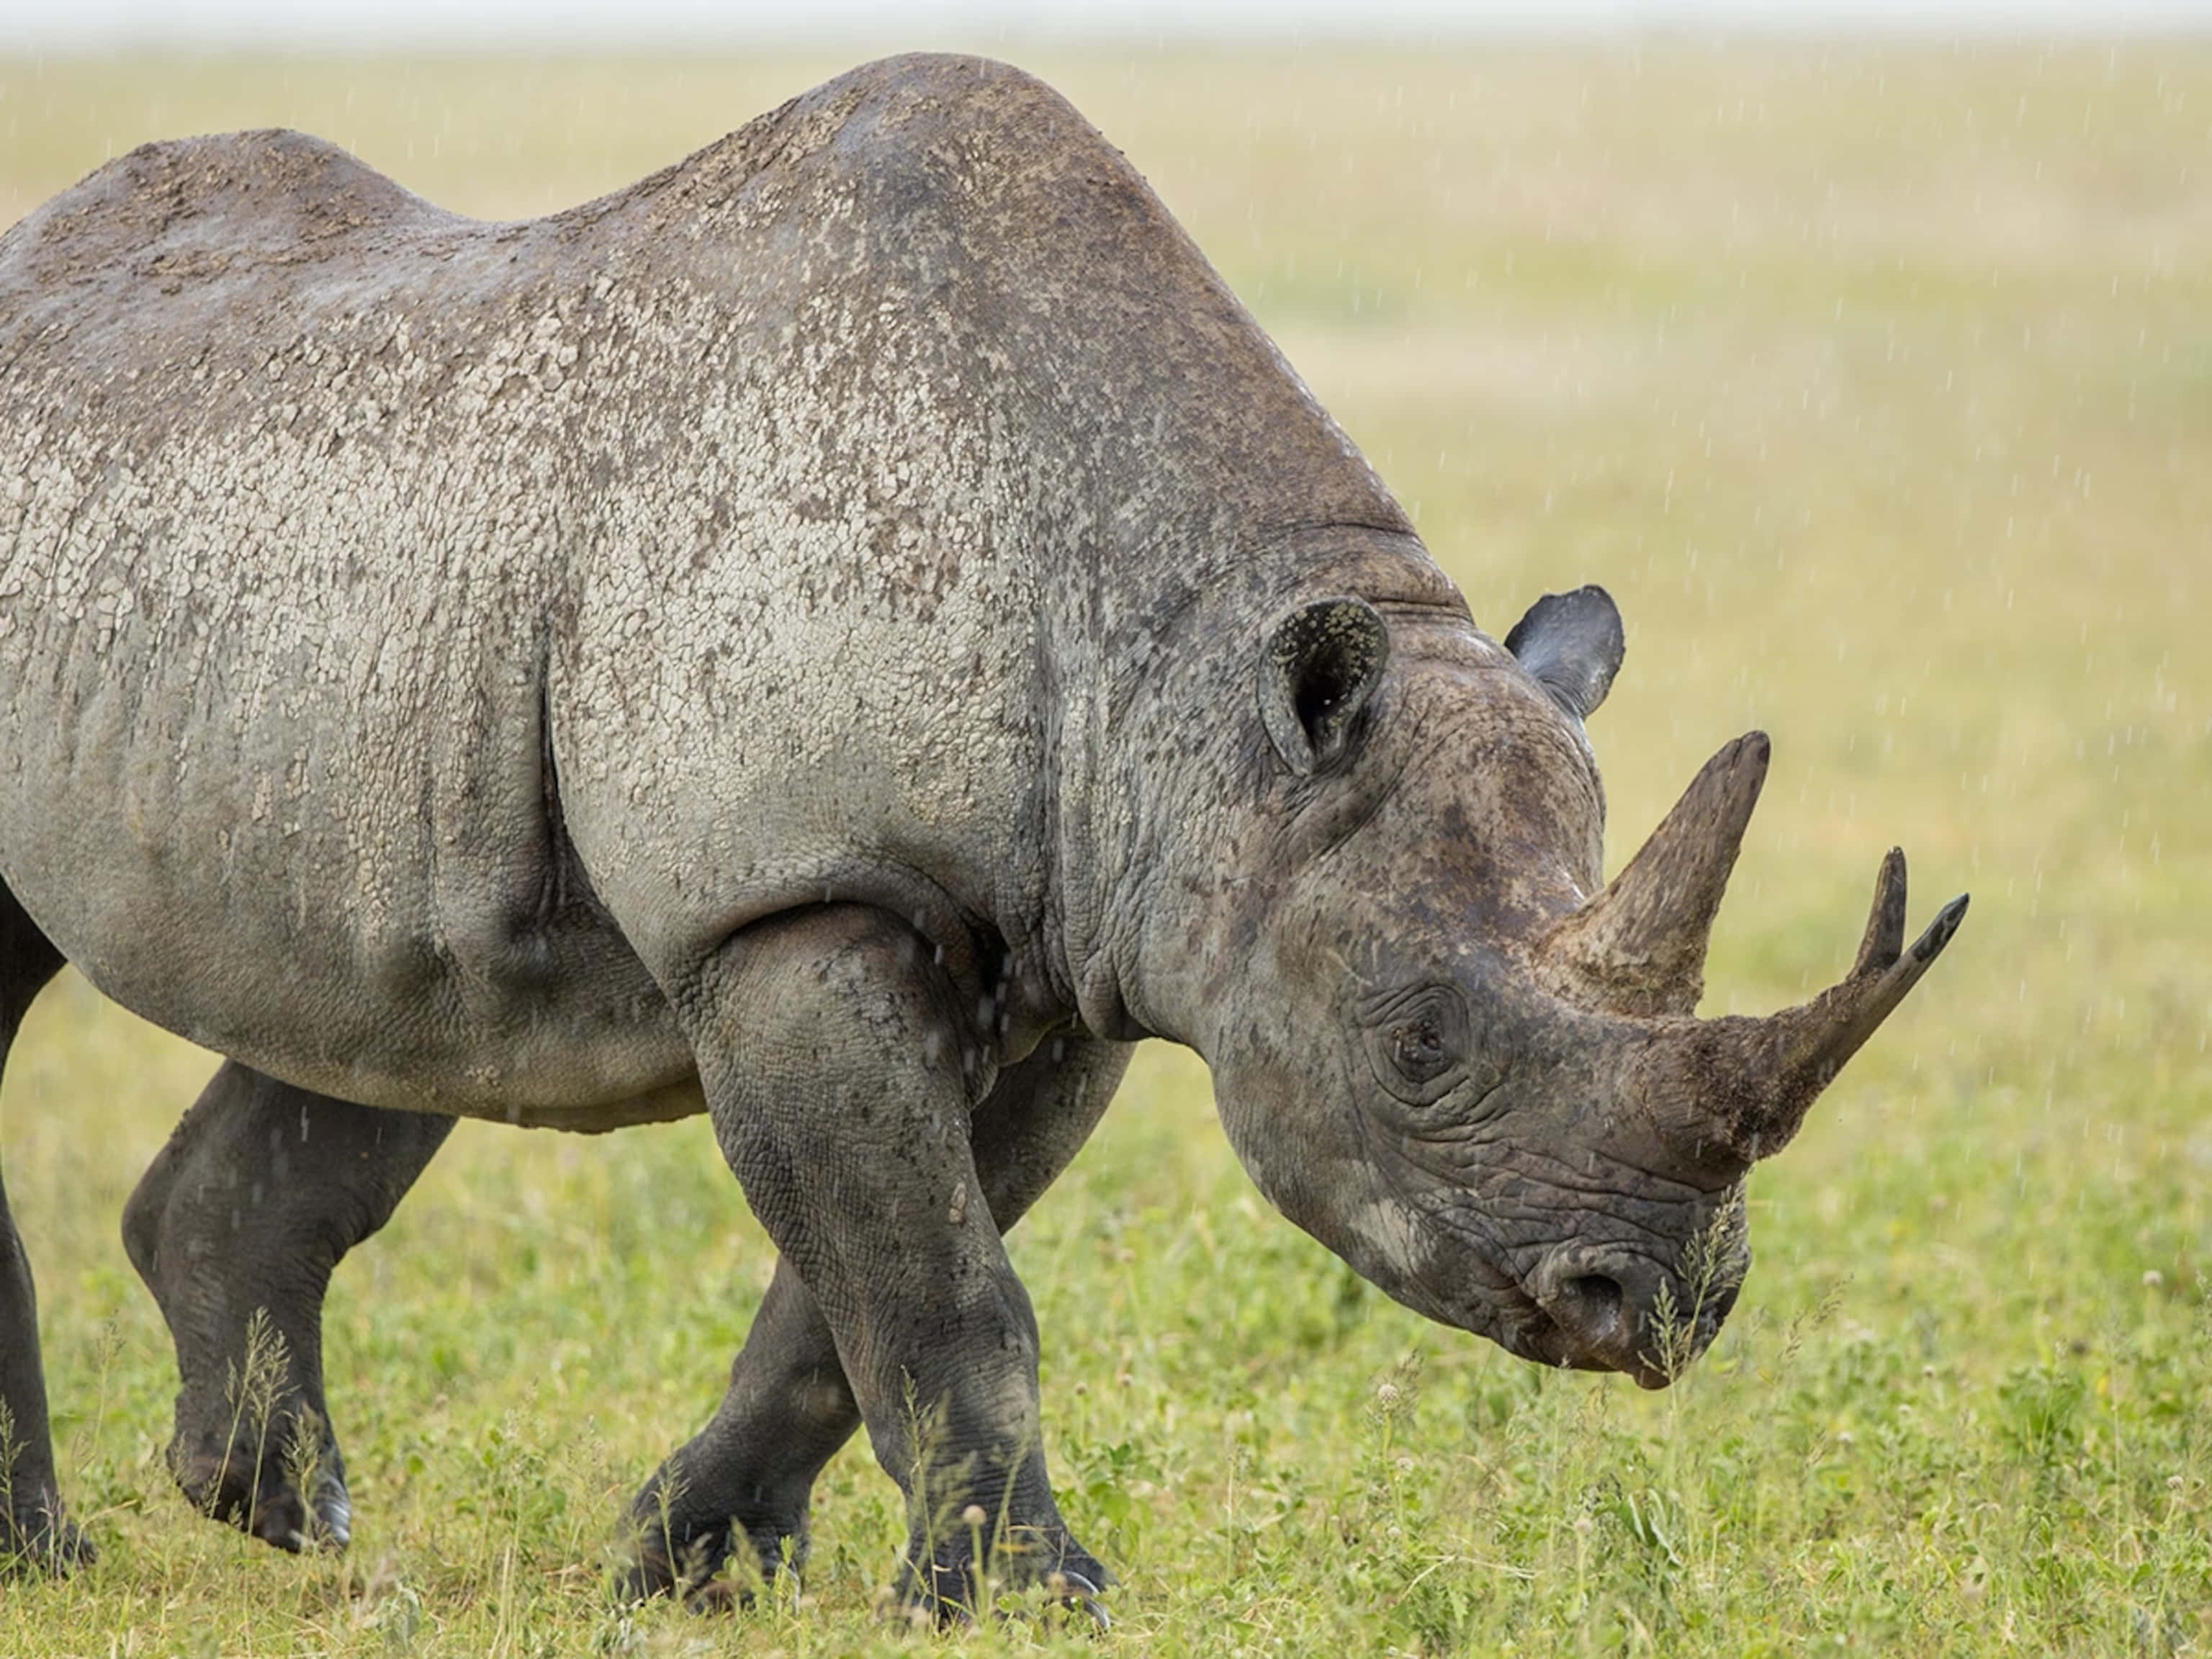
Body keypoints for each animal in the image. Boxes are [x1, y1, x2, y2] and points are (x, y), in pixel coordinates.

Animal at [0, 54, 1965, 1610]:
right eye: (1417, 1043)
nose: (1665, 1308)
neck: (1193, 687)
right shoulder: (793, 907)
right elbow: (941, 1285)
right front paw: (1035, 1597)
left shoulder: (1075, 944)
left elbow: (859, 1291)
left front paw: (694, 1569)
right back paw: (54, 1558)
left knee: (389, 1002)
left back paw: (282, 1516)